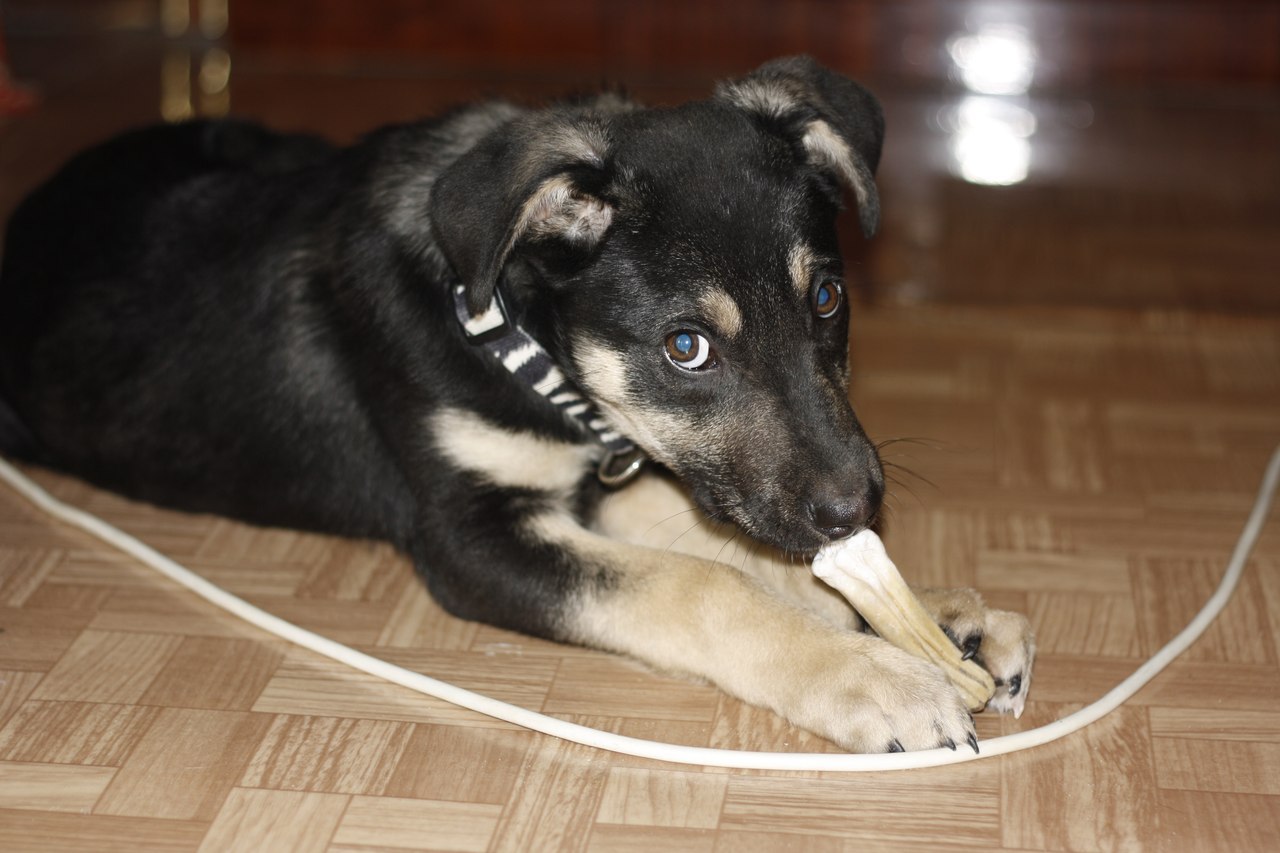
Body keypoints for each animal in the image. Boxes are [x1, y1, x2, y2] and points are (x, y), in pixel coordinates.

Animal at [0, 57, 1032, 752]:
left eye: (824, 297)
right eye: (685, 348)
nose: (858, 507)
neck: (505, 323)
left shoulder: (616, 469)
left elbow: (733, 549)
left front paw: (934, 615)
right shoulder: (470, 536)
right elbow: (700, 582)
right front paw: (869, 672)